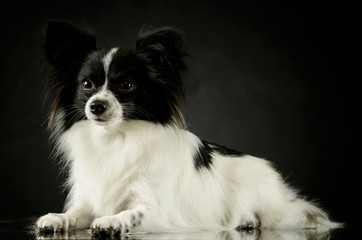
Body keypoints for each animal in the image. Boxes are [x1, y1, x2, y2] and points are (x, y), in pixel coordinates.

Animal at [36, 19, 340, 236]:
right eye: (87, 85)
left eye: (126, 85)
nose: (96, 106)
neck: (116, 138)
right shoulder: (89, 198)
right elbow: (76, 213)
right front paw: (57, 218)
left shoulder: (159, 212)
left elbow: (131, 213)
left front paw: (112, 220)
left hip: (265, 201)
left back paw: (248, 220)